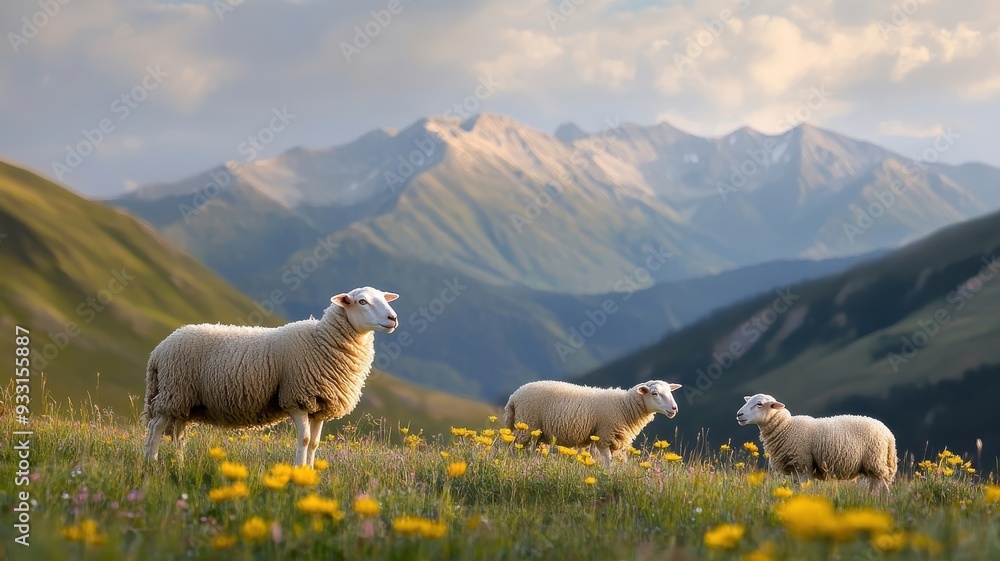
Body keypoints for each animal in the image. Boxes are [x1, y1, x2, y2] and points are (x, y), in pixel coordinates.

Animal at [142, 286, 399, 467]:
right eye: (362, 301)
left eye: (384, 298)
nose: (393, 318)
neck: (321, 341)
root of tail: (159, 350)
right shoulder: (297, 399)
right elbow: (304, 441)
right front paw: (298, 471)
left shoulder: (320, 406)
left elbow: (315, 444)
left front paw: (310, 473)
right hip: (174, 391)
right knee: (156, 427)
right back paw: (150, 463)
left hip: (185, 399)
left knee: (178, 434)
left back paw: (180, 464)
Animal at [504, 380, 682, 465]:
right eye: (654, 393)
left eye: (670, 392)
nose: (674, 409)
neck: (624, 406)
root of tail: (514, 396)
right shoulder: (604, 436)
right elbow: (607, 461)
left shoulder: (616, 442)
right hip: (528, 427)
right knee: (516, 450)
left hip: (538, 434)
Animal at [736, 393, 897, 491]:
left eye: (759, 404)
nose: (739, 414)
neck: (786, 427)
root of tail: (889, 435)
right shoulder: (795, 470)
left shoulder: (803, 466)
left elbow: (802, 489)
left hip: (875, 461)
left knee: (879, 486)